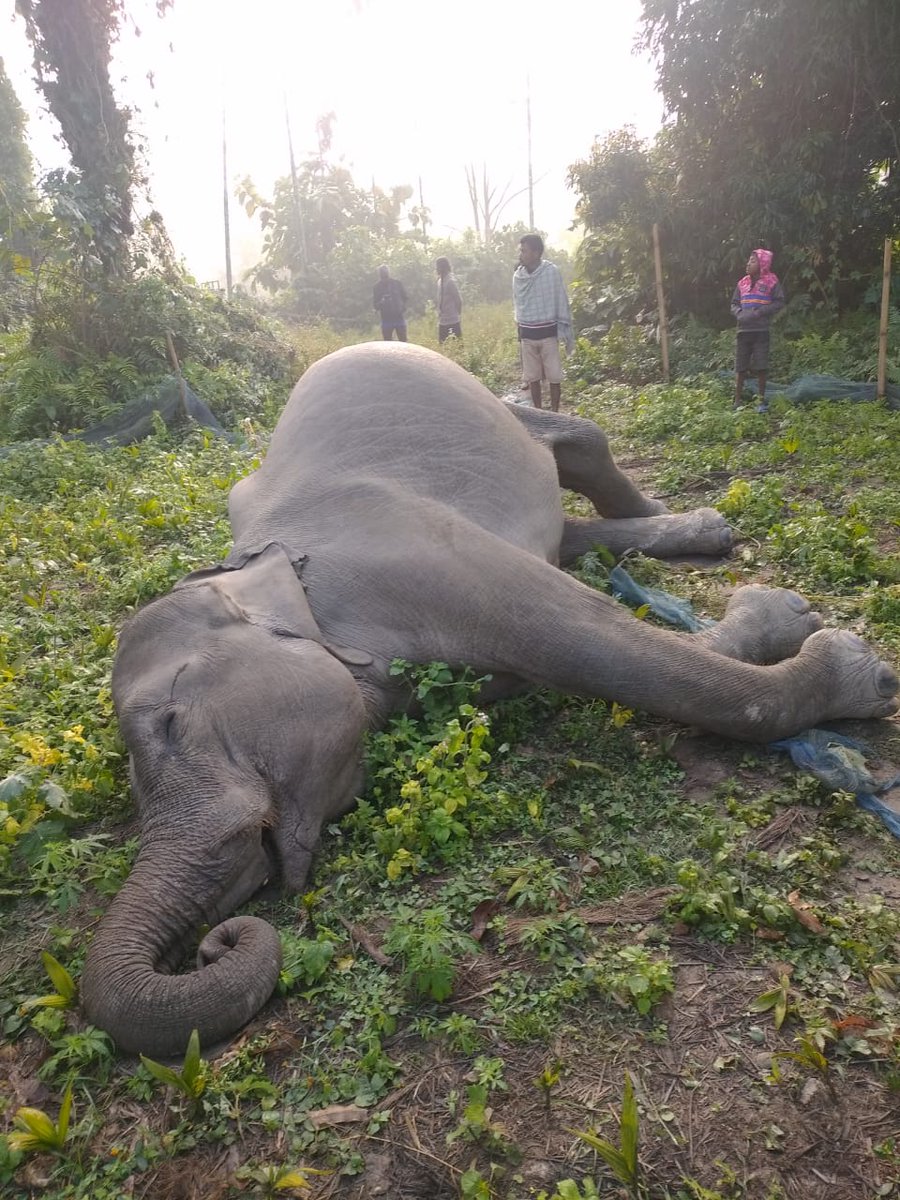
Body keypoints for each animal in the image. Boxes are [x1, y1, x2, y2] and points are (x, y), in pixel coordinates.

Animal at [81, 342, 898, 1057]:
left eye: (172, 721)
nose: (218, 941)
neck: (261, 568)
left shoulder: (419, 550)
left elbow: (586, 638)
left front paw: (852, 664)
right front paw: (787, 619)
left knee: (572, 443)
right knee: (571, 528)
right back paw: (704, 529)